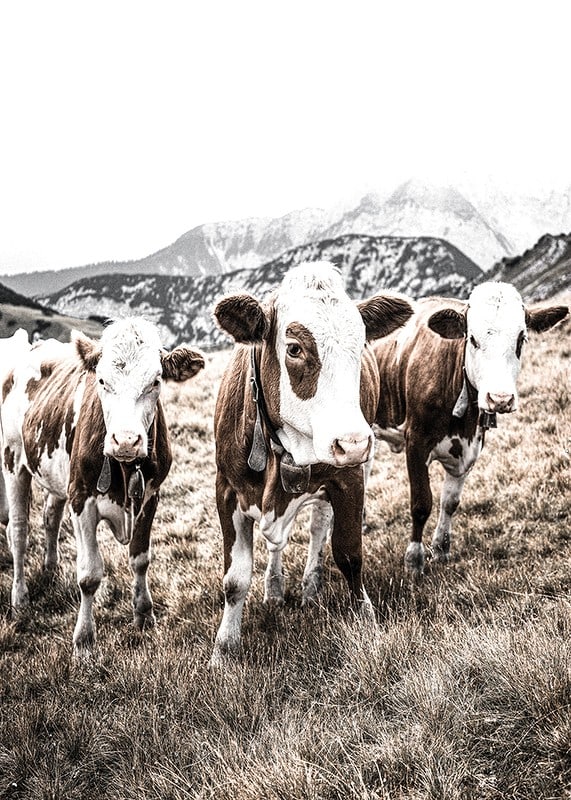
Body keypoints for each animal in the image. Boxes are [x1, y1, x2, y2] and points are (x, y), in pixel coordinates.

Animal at [1, 317, 205, 654]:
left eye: (156, 381)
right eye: (101, 381)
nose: (125, 441)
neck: (124, 468)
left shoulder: (150, 498)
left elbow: (140, 558)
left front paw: (144, 615)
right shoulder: (82, 499)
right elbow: (89, 575)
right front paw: (84, 641)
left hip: (58, 477)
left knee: (50, 517)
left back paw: (50, 570)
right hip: (13, 460)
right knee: (18, 533)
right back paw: (20, 599)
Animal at [209, 261, 414, 664]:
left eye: (361, 344)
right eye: (294, 348)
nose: (352, 442)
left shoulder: (349, 478)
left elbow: (349, 554)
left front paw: (365, 620)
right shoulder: (226, 490)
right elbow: (235, 578)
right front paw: (224, 649)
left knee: (319, 527)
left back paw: (310, 585)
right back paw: (275, 588)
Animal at [373, 281, 569, 576]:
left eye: (521, 339)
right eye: (473, 339)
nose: (500, 399)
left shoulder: (470, 448)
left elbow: (450, 502)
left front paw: (441, 549)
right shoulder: (415, 441)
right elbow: (421, 503)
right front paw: (414, 560)